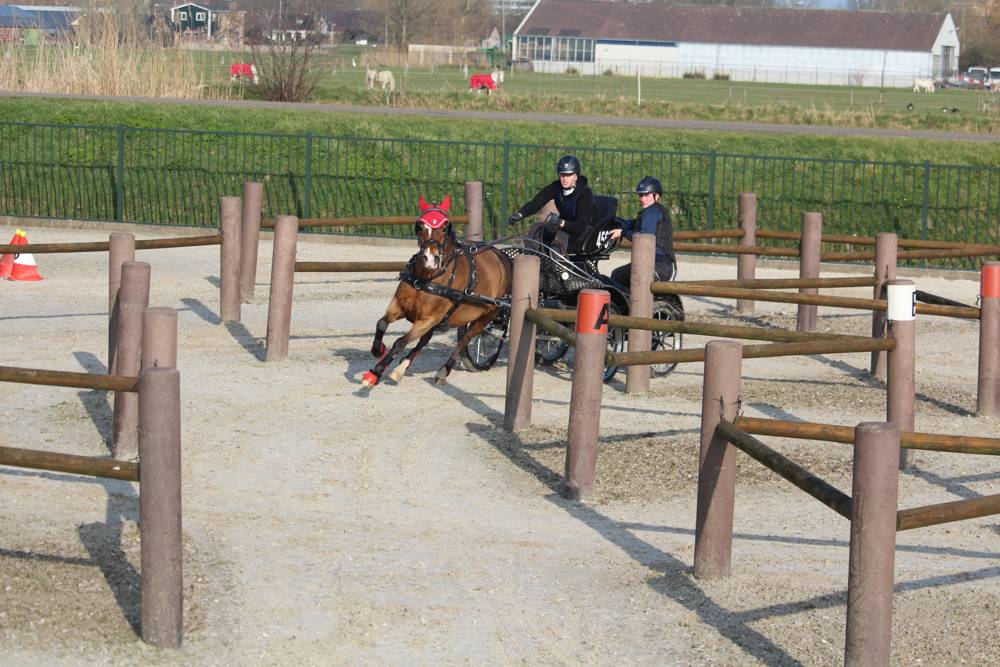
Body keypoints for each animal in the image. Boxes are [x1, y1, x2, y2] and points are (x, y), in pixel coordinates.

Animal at [362, 196, 516, 386]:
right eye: (421, 225)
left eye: (444, 227)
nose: (430, 259)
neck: (427, 278)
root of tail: (502, 256)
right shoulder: (400, 306)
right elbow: (382, 324)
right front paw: (379, 350)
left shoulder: (428, 319)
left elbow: (400, 342)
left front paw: (375, 372)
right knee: (425, 339)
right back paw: (404, 365)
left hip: (488, 314)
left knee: (466, 339)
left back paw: (444, 369)